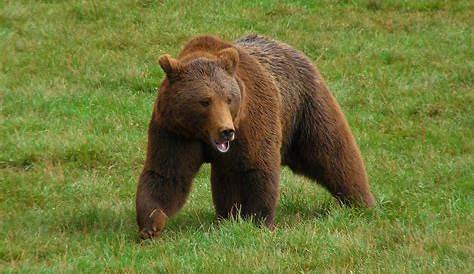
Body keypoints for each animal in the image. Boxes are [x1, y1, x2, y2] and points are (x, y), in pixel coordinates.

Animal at [135, 34, 376, 239]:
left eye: (228, 98)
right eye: (205, 101)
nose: (226, 131)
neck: (202, 134)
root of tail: (290, 47)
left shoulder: (251, 122)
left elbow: (256, 168)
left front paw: (257, 220)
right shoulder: (174, 130)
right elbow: (167, 174)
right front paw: (152, 224)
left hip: (304, 108)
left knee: (333, 151)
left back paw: (361, 201)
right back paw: (226, 216)